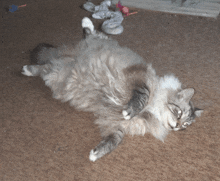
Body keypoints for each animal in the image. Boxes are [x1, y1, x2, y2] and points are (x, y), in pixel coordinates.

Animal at [22, 16, 203, 161]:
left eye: (185, 125)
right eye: (178, 113)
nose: (177, 126)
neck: (153, 111)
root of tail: (68, 55)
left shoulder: (116, 124)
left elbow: (114, 139)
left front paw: (96, 154)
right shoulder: (140, 79)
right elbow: (141, 97)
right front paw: (130, 110)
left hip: (56, 72)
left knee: (45, 67)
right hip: (78, 56)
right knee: (91, 33)